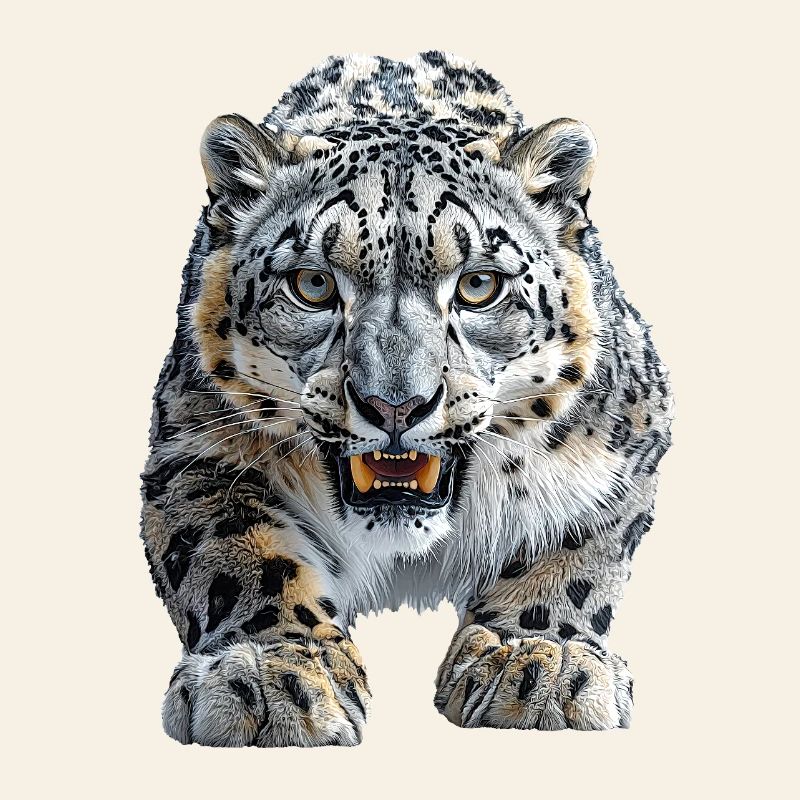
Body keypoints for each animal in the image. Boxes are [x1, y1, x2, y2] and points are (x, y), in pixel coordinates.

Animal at [141, 51, 674, 746]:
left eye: (479, 285)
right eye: (312, 284)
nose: (395, 404)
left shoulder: (624, 448)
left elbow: (574, 548)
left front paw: (540, 659)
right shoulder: (194, 444)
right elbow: (236, 553)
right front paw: (270, 672)